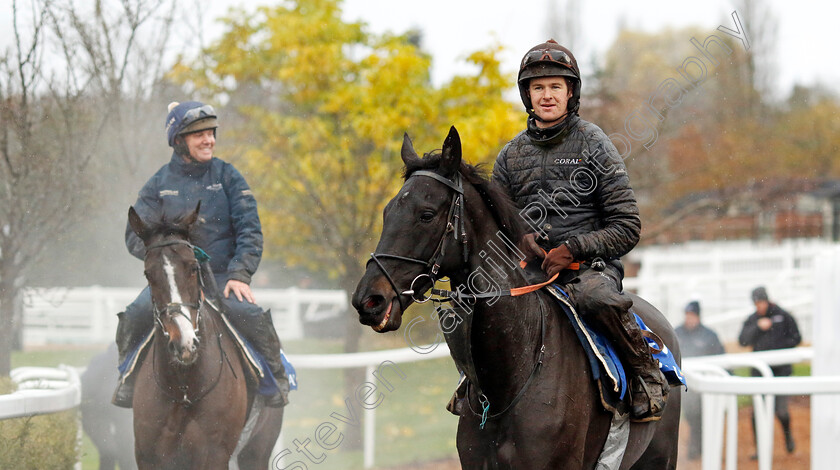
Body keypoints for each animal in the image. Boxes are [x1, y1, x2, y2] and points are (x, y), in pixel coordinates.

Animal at [125, 205, 282, 470]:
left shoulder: (214, 454)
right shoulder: (148, 455)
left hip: (257, 451)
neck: (184, 389)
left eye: (193, 267)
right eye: (148, 274)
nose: (184, 342)